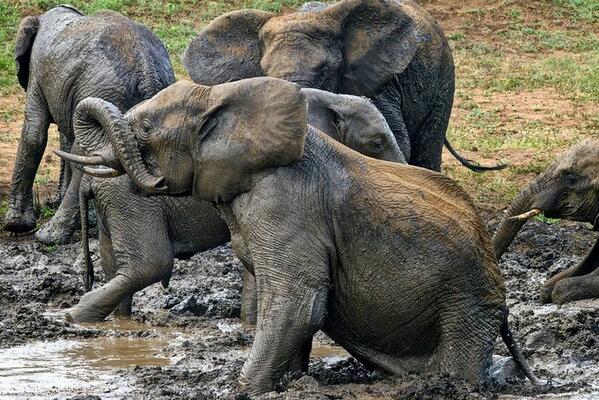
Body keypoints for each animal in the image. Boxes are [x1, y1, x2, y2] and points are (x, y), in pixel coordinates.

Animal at [3, 5, 175, 244]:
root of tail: (147, 70)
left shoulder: (37, 72)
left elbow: (34, 134)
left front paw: (15, 226)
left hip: (104, 89)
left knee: (85, 153)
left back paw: (49, 236)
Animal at [61, 86, 406, 322]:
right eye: (376, 144)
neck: (332, 99)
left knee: (115, 266)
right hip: (130, 201)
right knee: (149, 264)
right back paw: (75, 318)